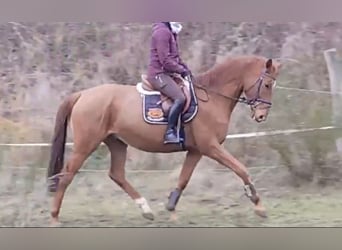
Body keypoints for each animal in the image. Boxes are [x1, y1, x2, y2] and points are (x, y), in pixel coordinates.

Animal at [46, 54, 280, 225]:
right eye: (267, 85)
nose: (261, 116)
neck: (213, 98)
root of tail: (82, 94)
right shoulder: (210, 147)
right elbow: (241, 169)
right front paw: (258, 205)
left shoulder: (196, 151)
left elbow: (183, 179)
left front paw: (171, 209)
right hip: (86, 145)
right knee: (67, 175)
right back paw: (55, 217)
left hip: (117, 142)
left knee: (116, 174)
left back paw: (146, 210)